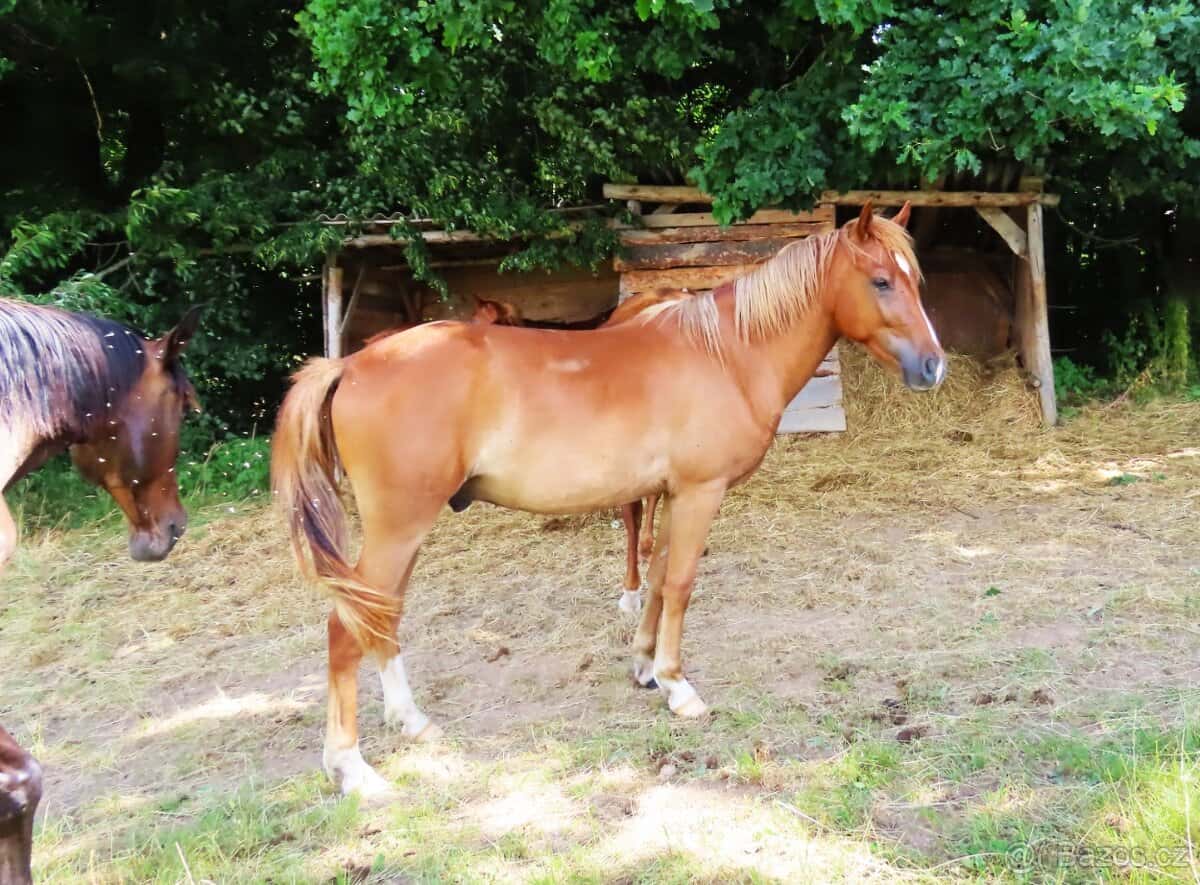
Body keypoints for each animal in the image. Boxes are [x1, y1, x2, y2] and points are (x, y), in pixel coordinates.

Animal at [272, 201, 943, 797]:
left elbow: (658, 575)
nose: (934, 366)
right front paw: (678, 686)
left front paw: (646, 668)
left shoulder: (671, 495)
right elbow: (680, 584)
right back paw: (352, 769)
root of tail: (352, 363)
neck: (727, 353)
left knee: (379, 618)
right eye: (881, 281)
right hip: (398, 527)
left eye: (915, 279)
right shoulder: (699, 494)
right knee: (345, 628)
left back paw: (412, 723)